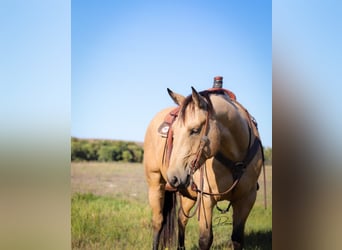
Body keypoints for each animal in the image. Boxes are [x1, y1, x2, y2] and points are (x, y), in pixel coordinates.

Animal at [143, 86, 264, 250]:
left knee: (181, 219)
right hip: (155, 184)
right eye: (173, 133)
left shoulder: (247, 198)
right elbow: (205, 239)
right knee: (158, 222)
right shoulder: (206, 199)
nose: (173, 177)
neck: (236, 159)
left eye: (195, 130)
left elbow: (237, 239)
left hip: (187, 193)